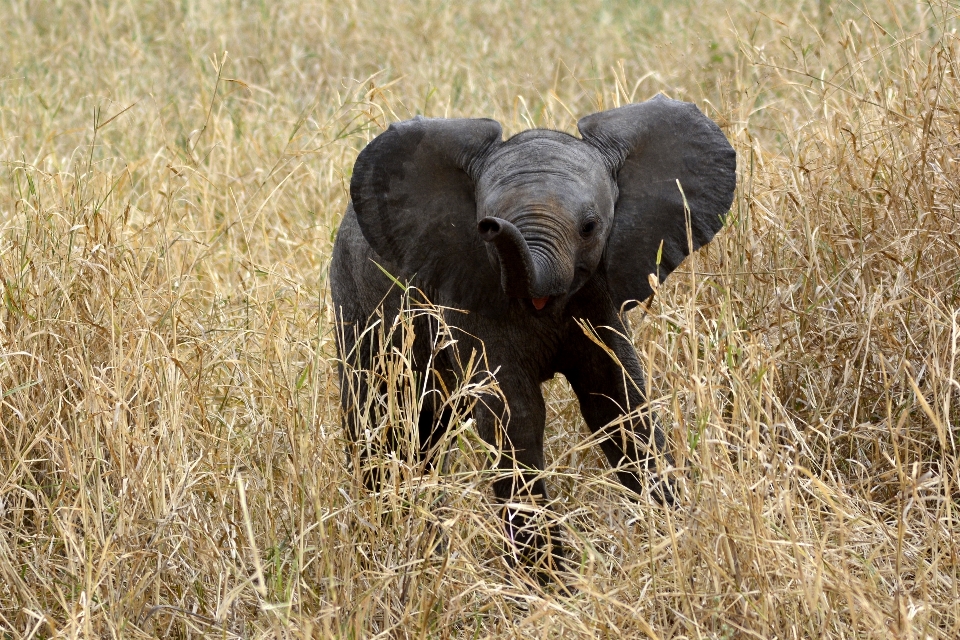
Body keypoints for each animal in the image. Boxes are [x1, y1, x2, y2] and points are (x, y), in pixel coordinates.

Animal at [330, 94, 736, 580]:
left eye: (590, 226)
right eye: (483, 226)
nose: (492, 226)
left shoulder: (600, 292)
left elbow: (619, 400)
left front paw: (677, 538)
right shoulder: (470, 296)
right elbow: (515, 415)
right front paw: (548, 586)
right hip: (356, 304)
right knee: (384, 421)